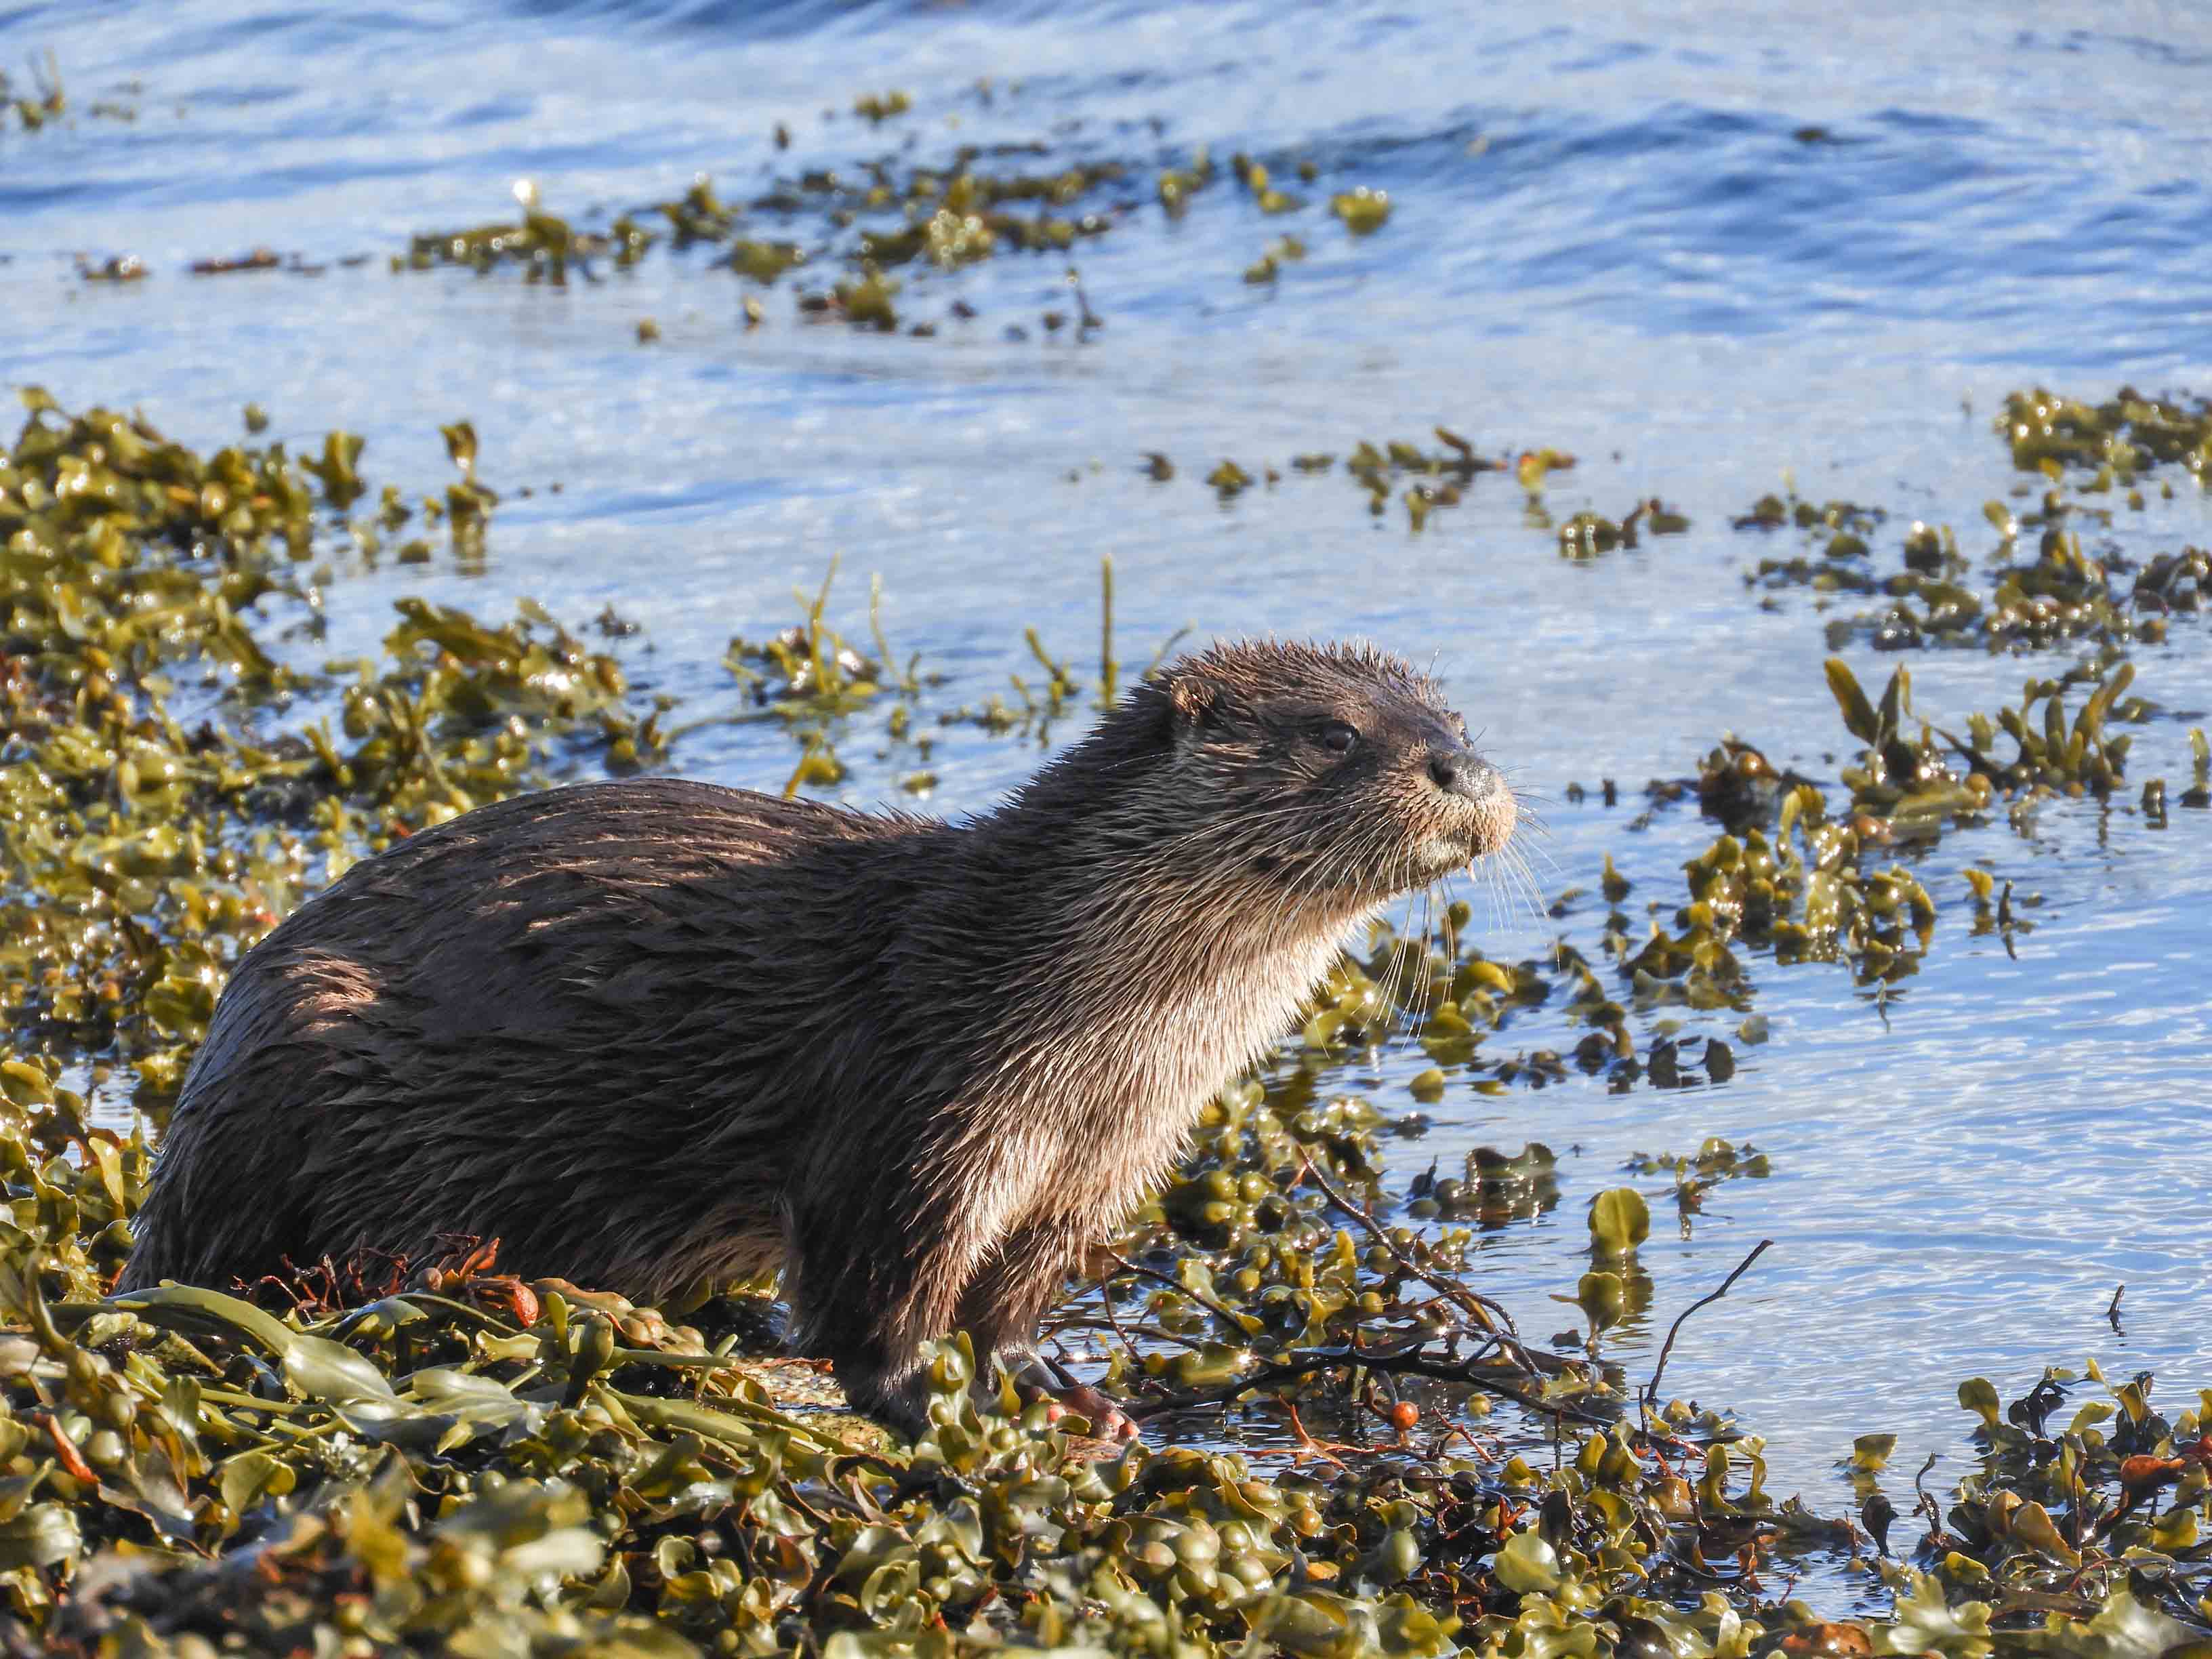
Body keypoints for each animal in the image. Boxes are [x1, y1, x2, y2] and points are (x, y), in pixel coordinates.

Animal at [121, 641, 1521, 1433]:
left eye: (1455, 722)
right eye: (1334, 733)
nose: (1461, 769)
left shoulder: (1101, 1165)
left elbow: (1013, 1297)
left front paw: (1060, 1390)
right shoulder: (917, 1108)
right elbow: (872, 1290)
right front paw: (912, 1413)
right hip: (295, 1055)